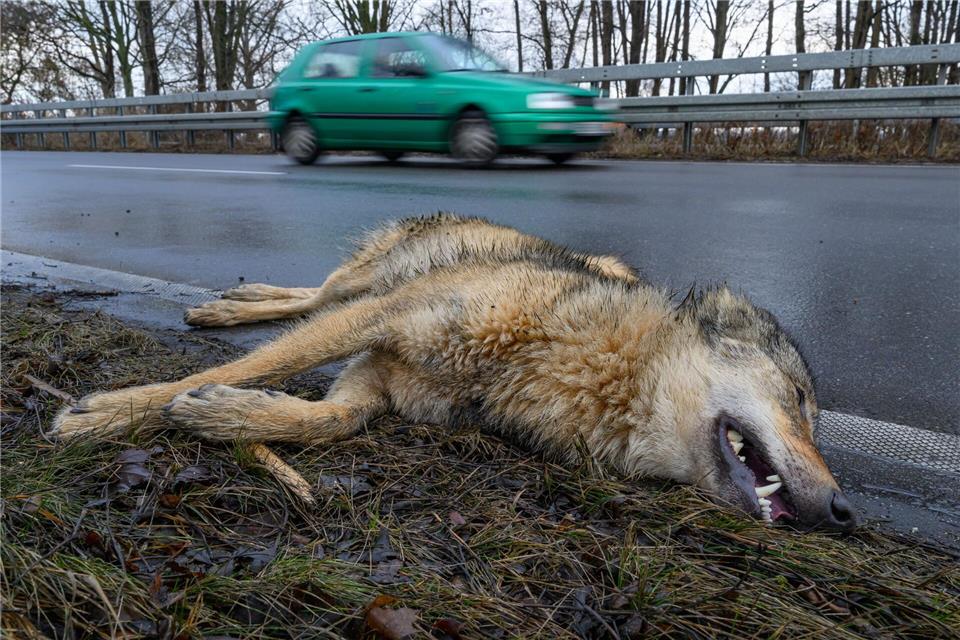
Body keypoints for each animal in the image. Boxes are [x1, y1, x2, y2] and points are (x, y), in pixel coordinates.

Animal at [53, 214, 856, 531]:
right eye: (798, 400)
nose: (847, 513)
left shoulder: (376, 378)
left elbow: (327, 420)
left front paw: (225, 413)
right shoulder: (385, 322)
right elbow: (270, 362)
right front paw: (113, 412)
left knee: (310, 300)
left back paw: (236, 303)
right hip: (370, 281)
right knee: (316, 296)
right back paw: (230, 307)